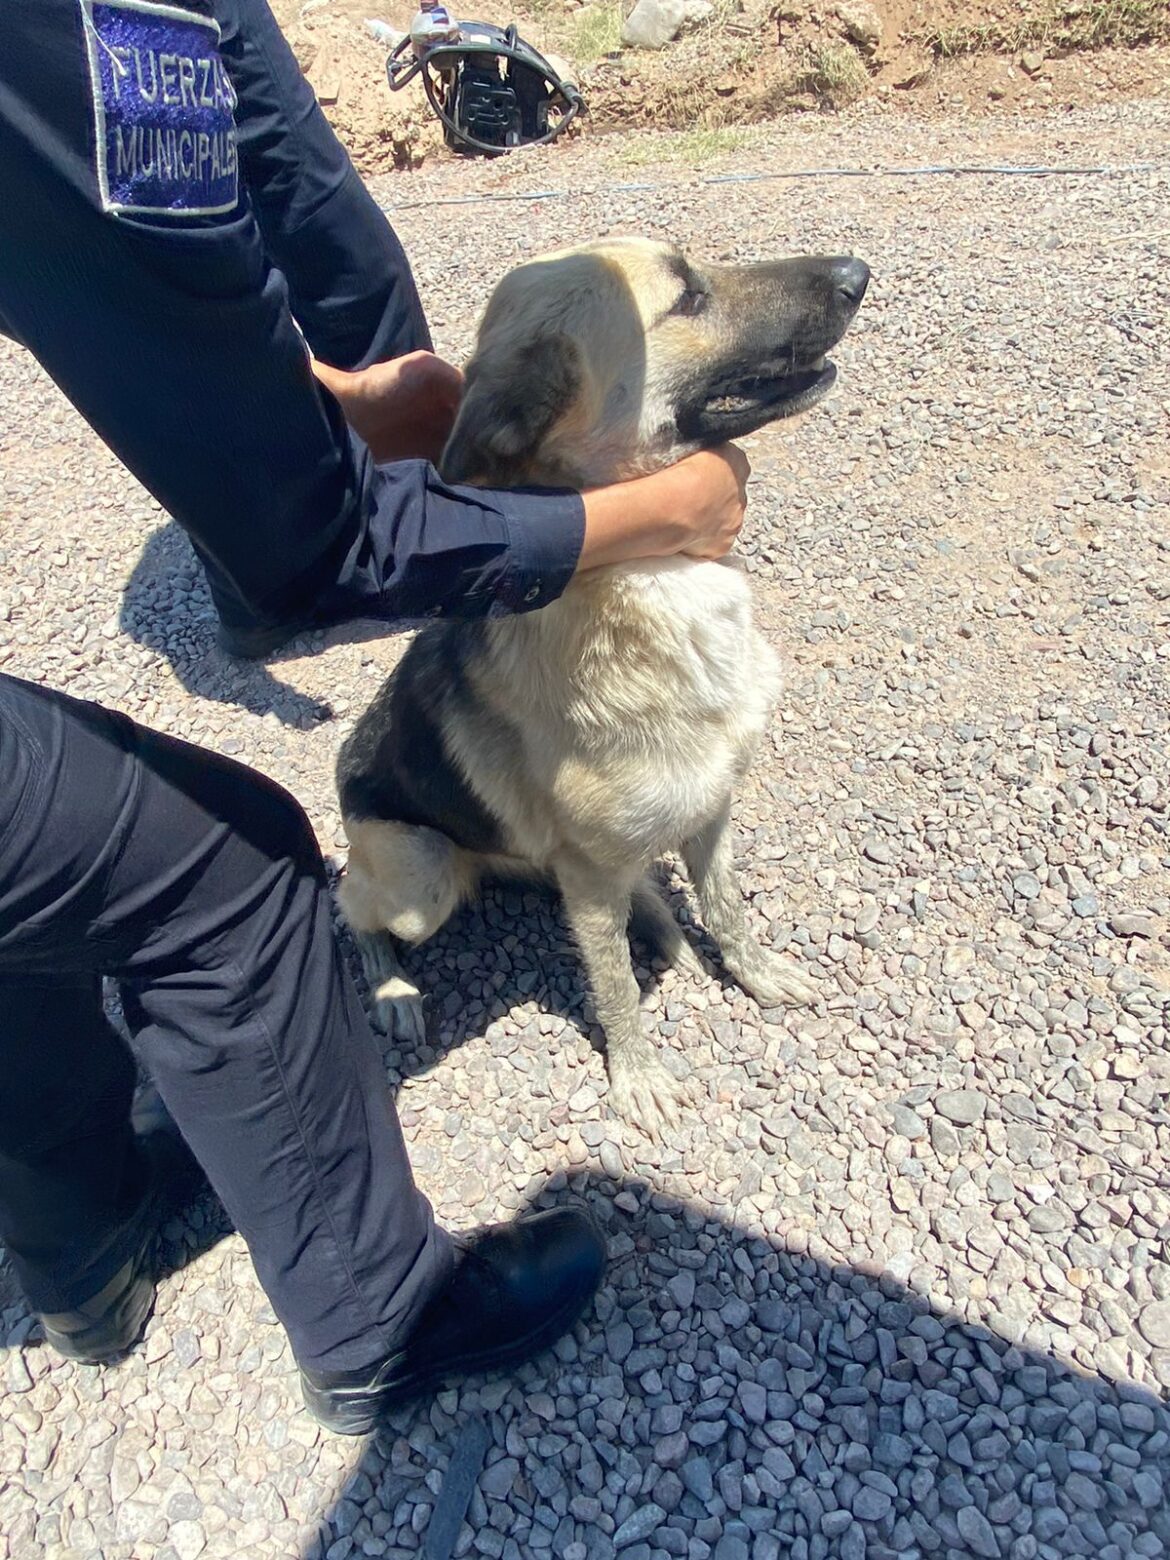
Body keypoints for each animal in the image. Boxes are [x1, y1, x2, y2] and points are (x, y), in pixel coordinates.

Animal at [338, 233, 873, 1135]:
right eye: (686, 297)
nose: (857, 275)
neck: (652, 578)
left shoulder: (713, 806)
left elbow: (725, 905)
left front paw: (754, 971)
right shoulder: (588, 882)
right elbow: (614, 983)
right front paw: (638, 1075)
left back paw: (669, 935)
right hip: (421, 877)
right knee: (351, 903)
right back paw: (393, 984)